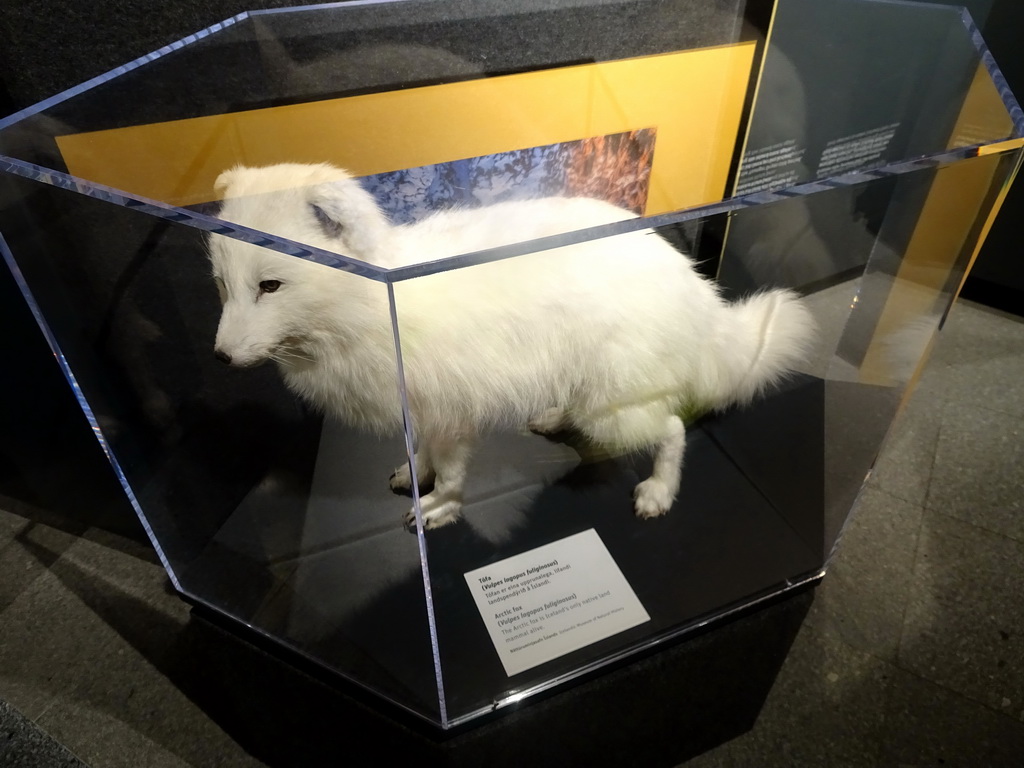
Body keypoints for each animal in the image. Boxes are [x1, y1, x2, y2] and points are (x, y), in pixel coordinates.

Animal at [209, 163, 815, 528]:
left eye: (270, 286)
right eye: (221, 284)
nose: (220, 357)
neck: (374, 301)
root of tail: (692, 283)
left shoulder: (453, 413)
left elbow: (452, 472)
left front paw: (439, 509)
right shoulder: (425, 407)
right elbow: (422, 452)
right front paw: (415, 476)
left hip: (613, 407)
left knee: (672, 428)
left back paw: (659, 492)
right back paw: (552, 417)